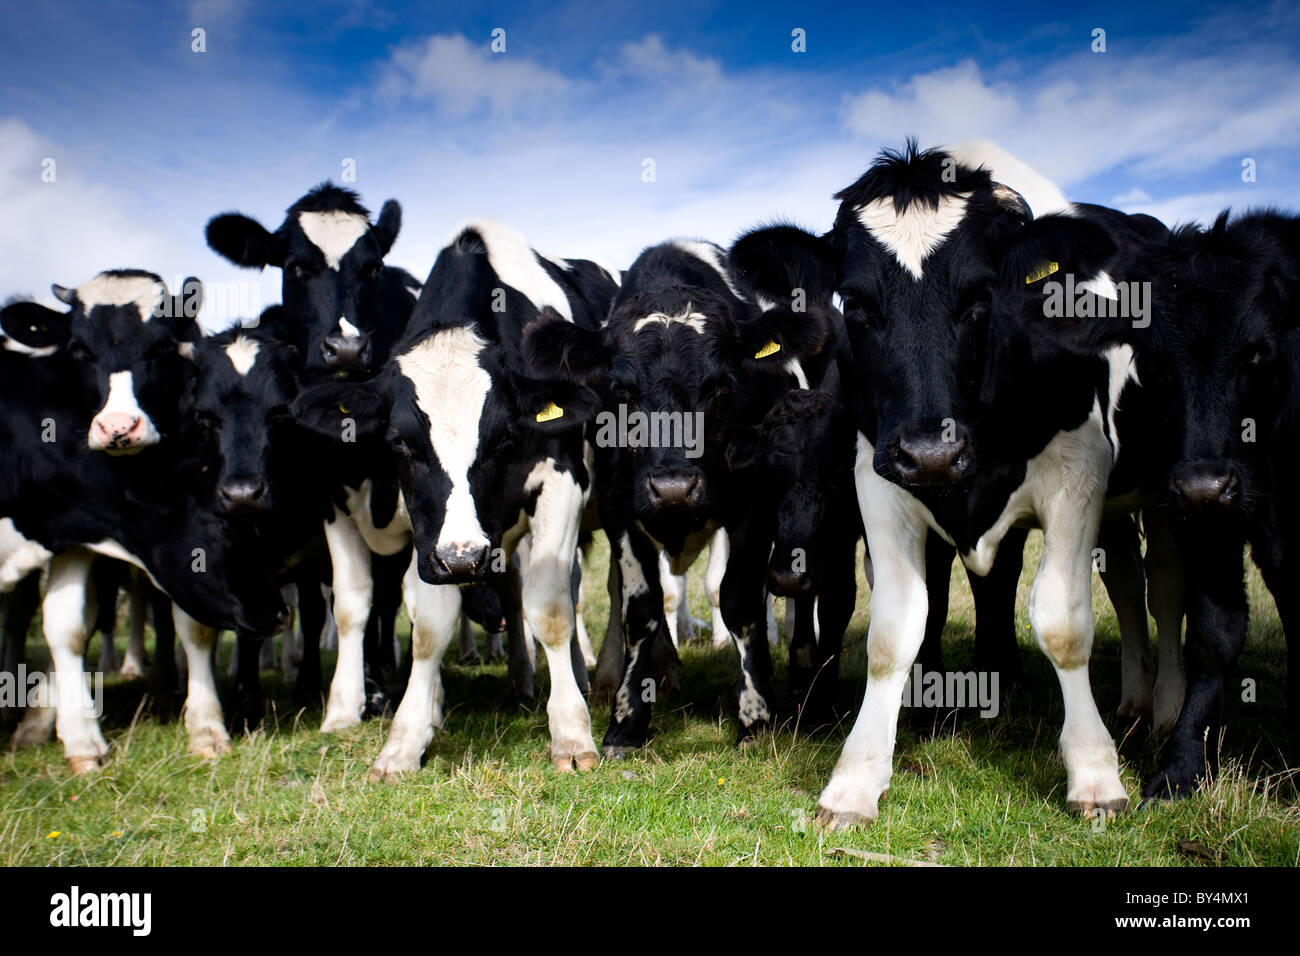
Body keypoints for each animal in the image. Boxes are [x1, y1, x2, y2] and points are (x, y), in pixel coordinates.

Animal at [293, 219, 620, 776]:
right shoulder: (427, 533)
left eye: (504, 437)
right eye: (401, 444)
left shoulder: (562, 484)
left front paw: (572, 733)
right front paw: (404, 741)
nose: (464, 559)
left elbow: (552, 609)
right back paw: (523, 680)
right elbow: (428, 626)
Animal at [525, 238, 831, 753]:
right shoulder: (620, 510)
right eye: (622, 389)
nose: (673, 488)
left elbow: (740, 602)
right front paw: (627, 720)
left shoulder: (751, 507)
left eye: (720, 385)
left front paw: (755, 716)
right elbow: (640, 611)